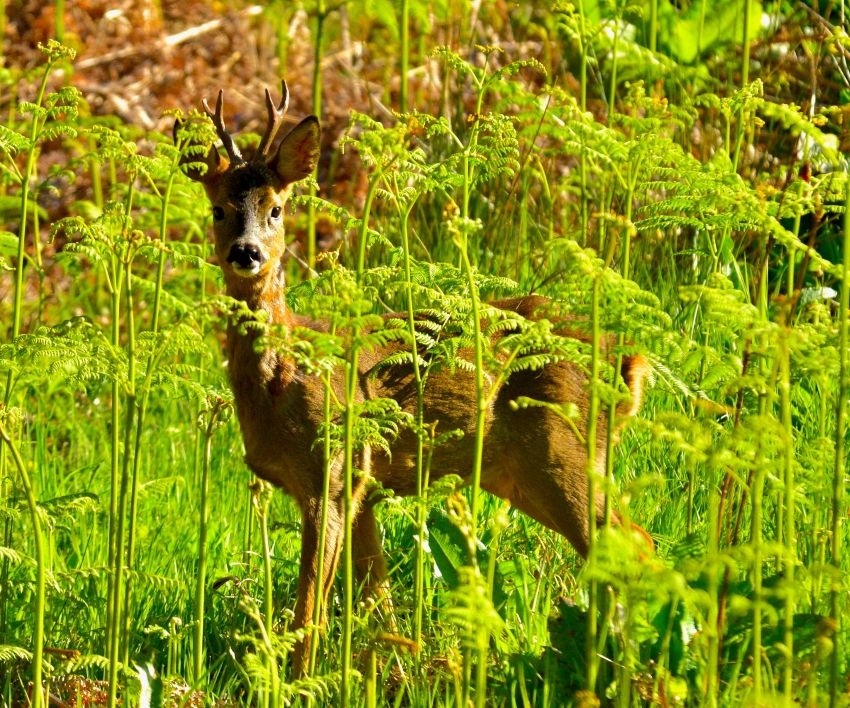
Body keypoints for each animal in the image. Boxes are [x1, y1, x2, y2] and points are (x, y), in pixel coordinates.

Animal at [175, 82, 651, 677]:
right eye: (217, 208)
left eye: (276, 207)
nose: (247, 252)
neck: (284, 381)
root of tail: (625, 364)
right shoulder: (362, 488)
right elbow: (377, 600)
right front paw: (395, 669)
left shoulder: (333, 471)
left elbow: (310, 610)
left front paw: (297, 680)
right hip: (529, 473)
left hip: (563, 452)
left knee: (634, 545)